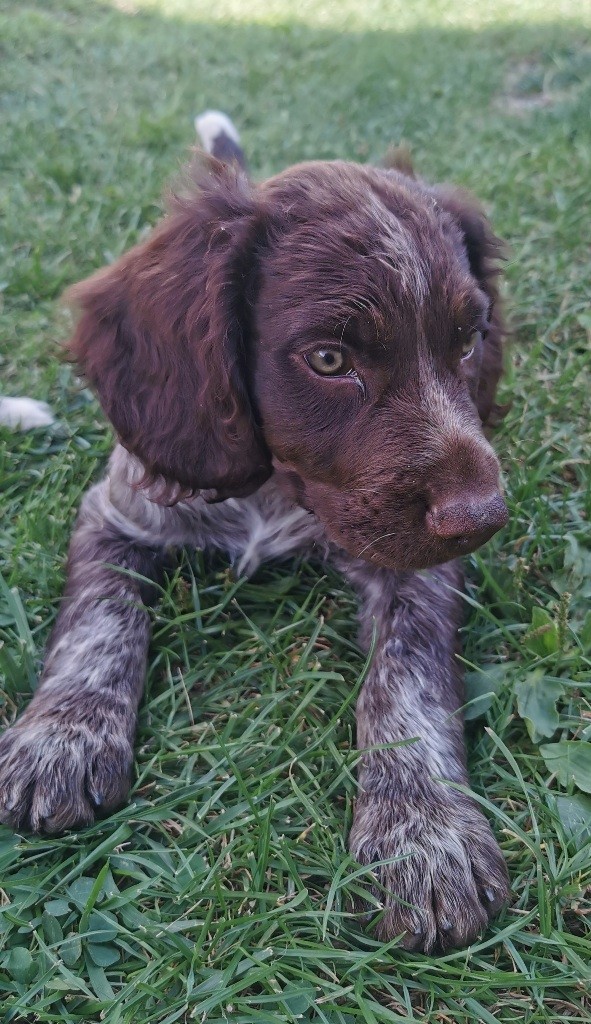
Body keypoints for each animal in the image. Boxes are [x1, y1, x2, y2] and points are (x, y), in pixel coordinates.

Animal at [0, 117, 508, 950]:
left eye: (468, 341)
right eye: (328, 359)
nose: (485, 516)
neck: (272, 489)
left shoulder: (418, 564)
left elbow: (406, 677)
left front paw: (424, 830)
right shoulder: (117, 511)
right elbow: (99, 621)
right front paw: (61, 736)